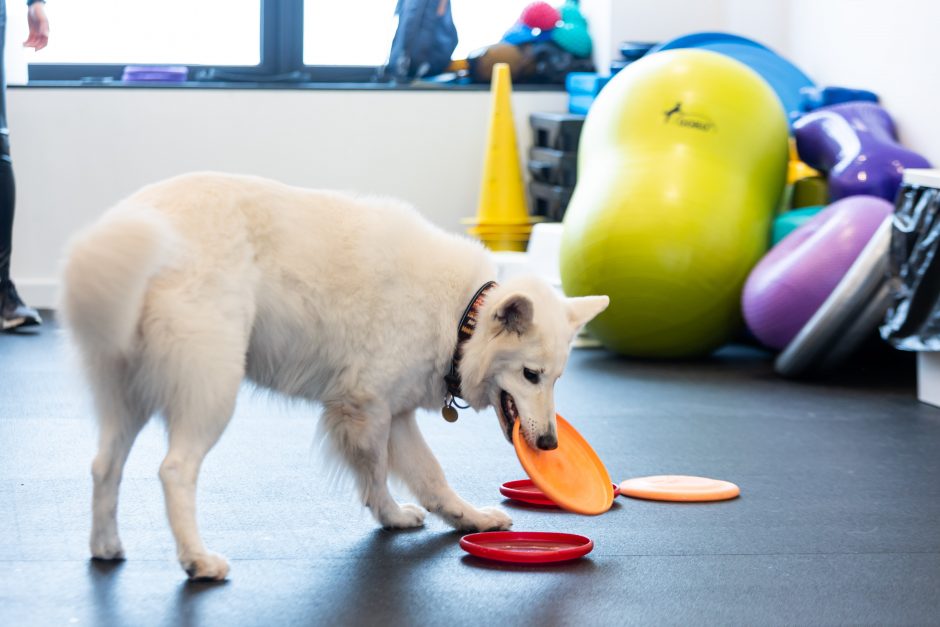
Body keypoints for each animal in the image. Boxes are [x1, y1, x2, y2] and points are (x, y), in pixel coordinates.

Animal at [58, 173, 604, 584]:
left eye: (557, 378)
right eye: (531, 375)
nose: (551, 445)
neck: (460, 316)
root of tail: (137, 223)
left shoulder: (394, 413)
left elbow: (430, 476)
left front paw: (464, 518)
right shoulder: (366, 409)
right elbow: (377, 472)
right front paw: (392, 515)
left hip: (127, 400)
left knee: (103, 466)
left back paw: (106, 546)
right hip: (212, 391)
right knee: (174, 470)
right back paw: (197, 560)